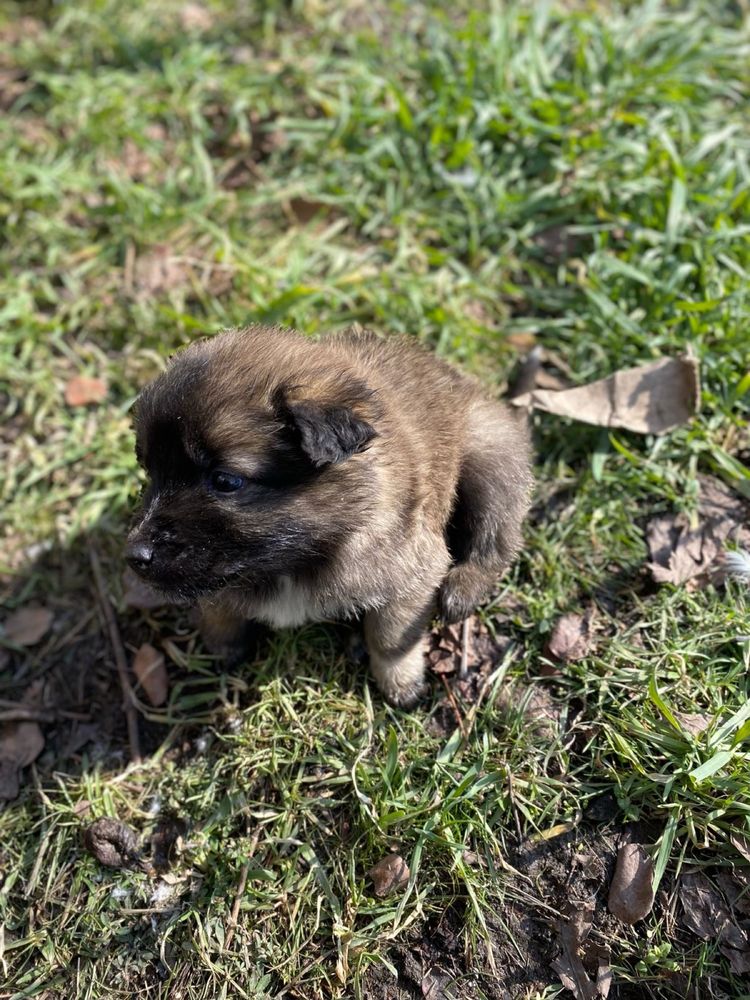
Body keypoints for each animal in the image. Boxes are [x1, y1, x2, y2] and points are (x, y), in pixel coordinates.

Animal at [126, 324, 532, 708]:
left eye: (226, 480)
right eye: (150, 472)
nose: (135, 557)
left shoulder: (414, 571)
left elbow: (391, 637)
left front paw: (400, 683)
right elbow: (219, 608)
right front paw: (222, 647)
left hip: (490, 454)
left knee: (497, 538)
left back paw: (462, 588)